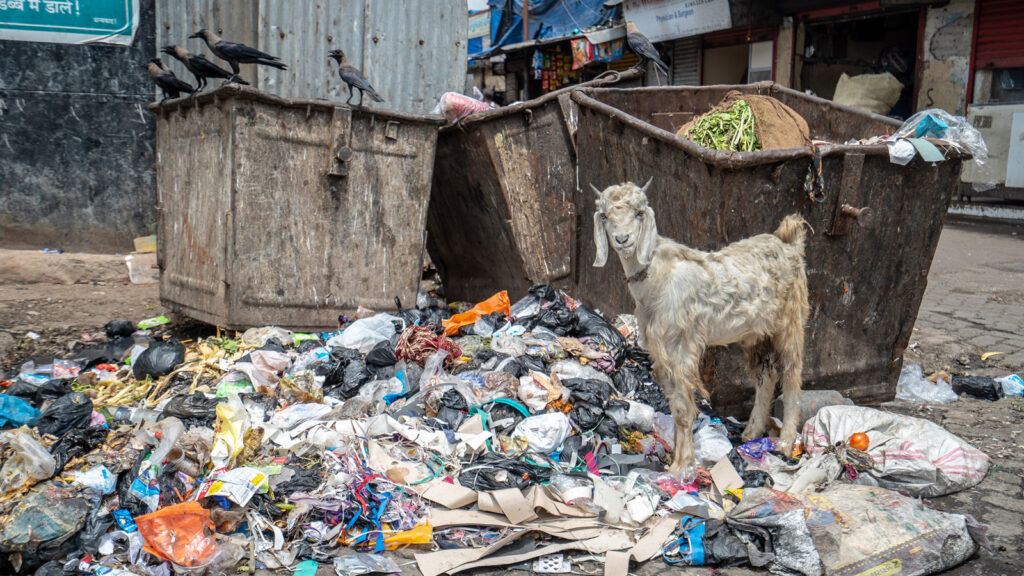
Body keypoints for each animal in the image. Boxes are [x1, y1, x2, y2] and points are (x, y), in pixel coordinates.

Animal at [592, 179, 809, 471]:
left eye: (639, 213)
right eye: (604, 216)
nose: (623, 240)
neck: (657, 277)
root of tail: (789, 244)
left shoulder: (682, 345)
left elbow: (684, 407)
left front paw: (682, 466)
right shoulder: (661, 350)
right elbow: (674, 403)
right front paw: (677, 457)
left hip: (791, 320)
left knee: (792, 374)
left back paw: (785, 444)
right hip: (757, 332)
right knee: (766, 375)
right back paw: (751, 432)